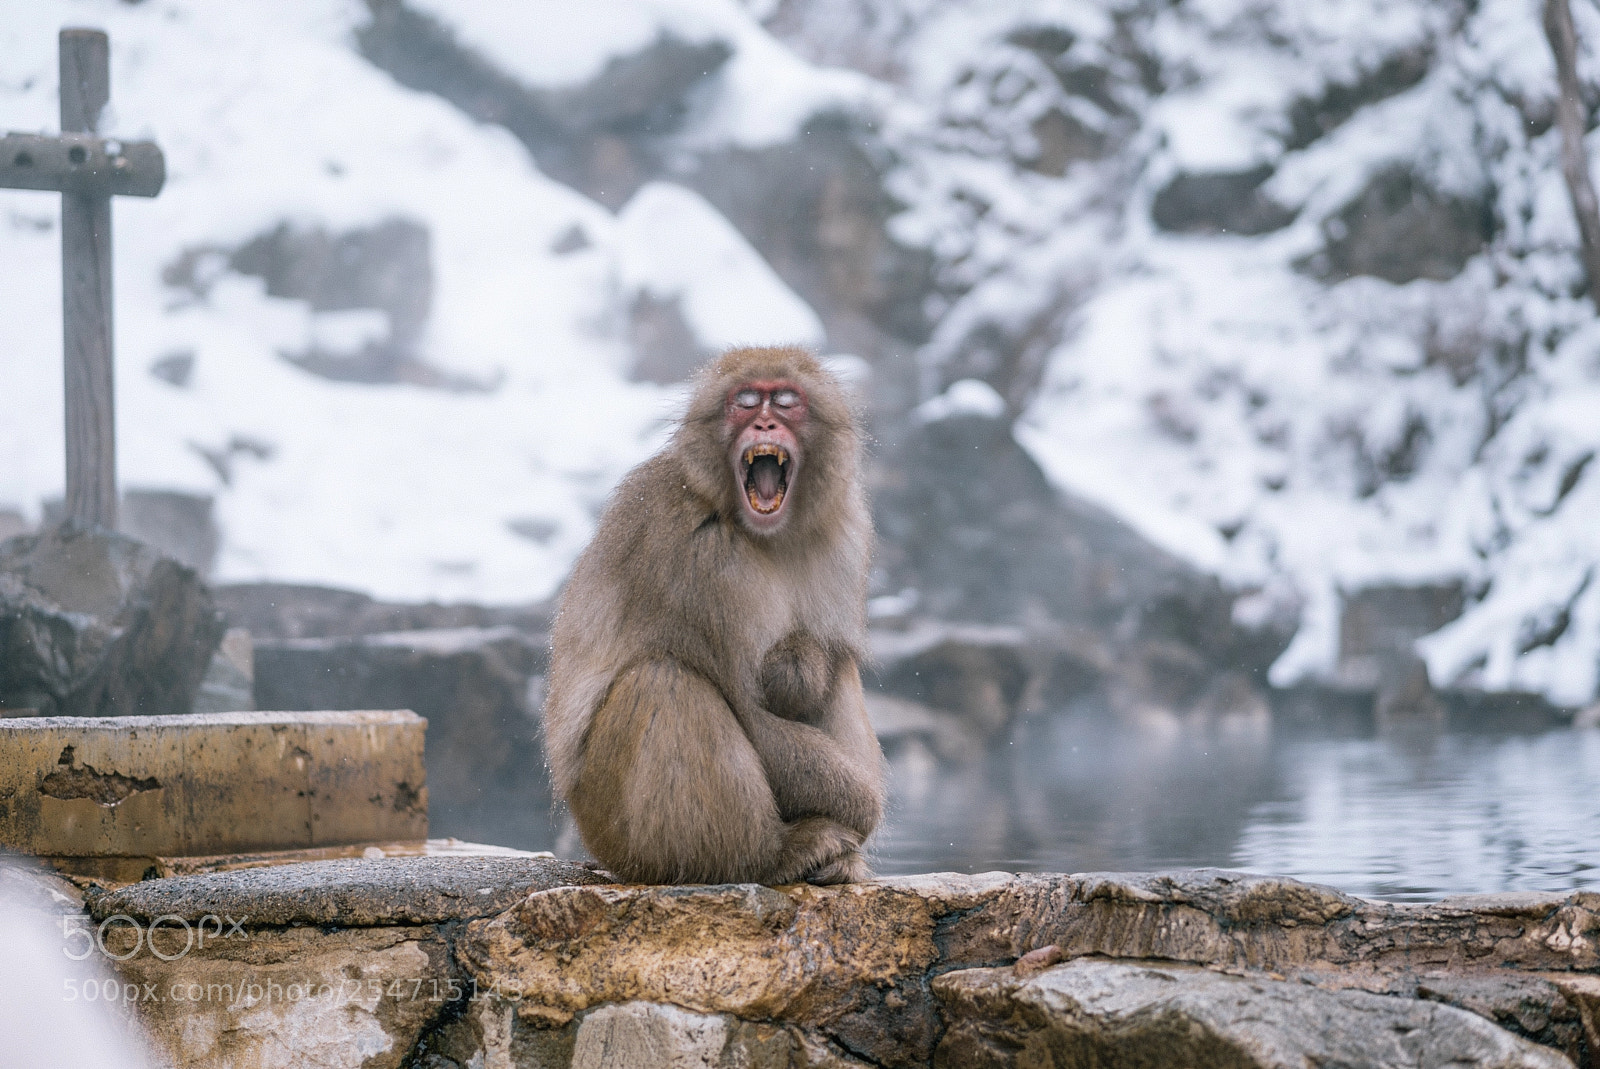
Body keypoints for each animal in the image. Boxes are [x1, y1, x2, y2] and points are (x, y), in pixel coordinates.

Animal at [543, 345, 885, 886]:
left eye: (786, 402)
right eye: (744, 403)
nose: (765, 423)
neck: (762, 534)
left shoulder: (845, 536)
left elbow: (818, 660)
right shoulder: (697, 561)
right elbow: (749, 709)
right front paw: (863, 806)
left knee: (836, 667)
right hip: (613, 828)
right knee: (664, 681)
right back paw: (770, 855)